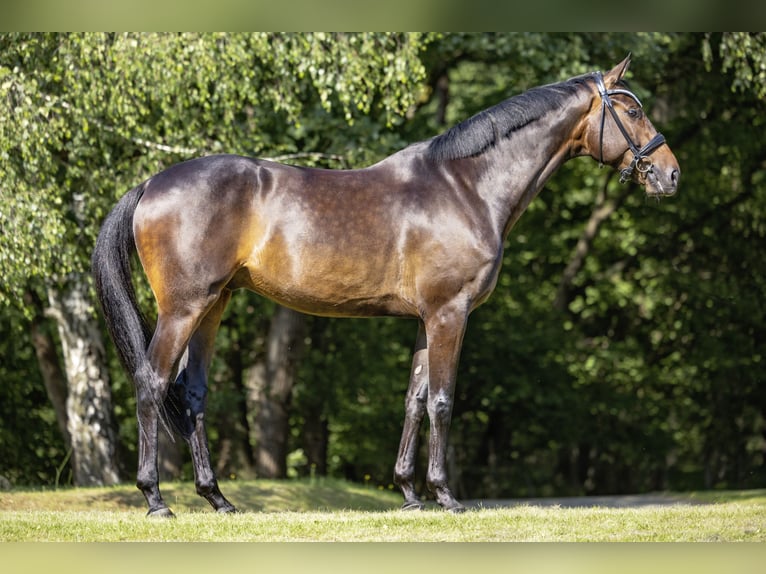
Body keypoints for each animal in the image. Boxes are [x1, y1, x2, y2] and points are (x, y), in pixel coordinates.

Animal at [93, 56, 680, 520]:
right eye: (631, 112)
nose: (670, 173)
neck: (466, 187)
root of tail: (152, 183)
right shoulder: (450, 314)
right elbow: (442, 400)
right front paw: (445, 496)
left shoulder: (426, 320)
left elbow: (414, 401)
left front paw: (410, 494)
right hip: (182, 308)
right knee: (151, 382)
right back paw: (155, 499)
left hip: (213, 306)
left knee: (192, 394)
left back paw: (218, 499)